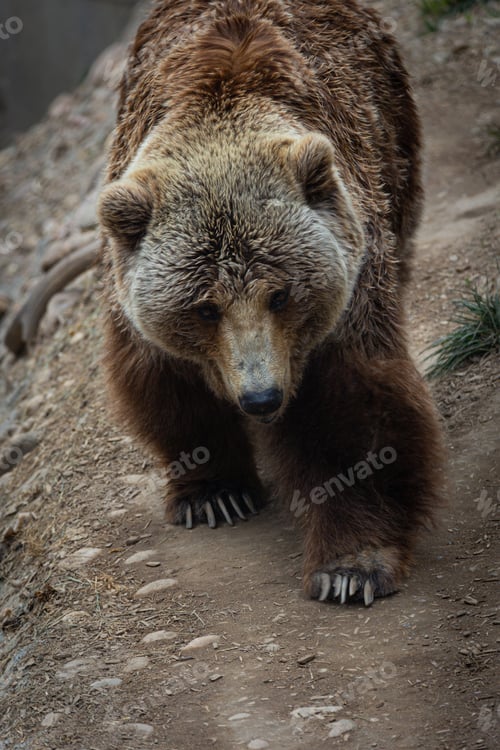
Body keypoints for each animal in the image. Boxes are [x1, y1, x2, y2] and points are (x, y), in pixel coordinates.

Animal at [98, 0, 445, 607]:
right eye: (204, 308)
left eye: (281, 294)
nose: (261, 397)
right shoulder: (137, 303)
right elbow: (164, 381)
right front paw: (214, 493)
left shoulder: (349, 291)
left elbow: (353, 414)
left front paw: (351, 566)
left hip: (395, 144)